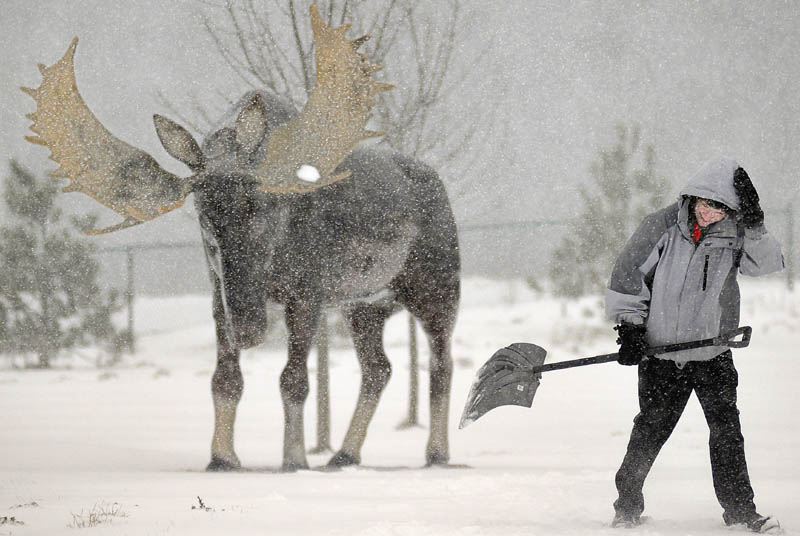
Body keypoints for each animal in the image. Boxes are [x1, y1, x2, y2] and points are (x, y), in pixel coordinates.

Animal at [22, 4, 460, 471]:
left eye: (264, 206)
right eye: (204, 216)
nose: (249, 327)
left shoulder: (308, 291)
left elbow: (293, 379)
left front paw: (293, 459)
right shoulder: (220, 293)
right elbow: (225, 378)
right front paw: (222, 457)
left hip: (436, 287)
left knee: (440, 362)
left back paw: (435, 453)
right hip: (364, 305)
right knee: (379, 368)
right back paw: (343, 454)